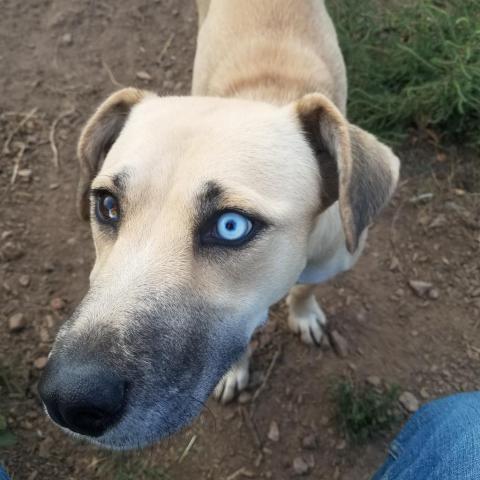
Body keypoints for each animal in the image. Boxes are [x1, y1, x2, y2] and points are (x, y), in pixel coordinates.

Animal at [39, 0, 402, 450]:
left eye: (231, 226)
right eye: (107, 205)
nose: (68, 399)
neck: (260, 94)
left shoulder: (333, 259)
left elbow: (305, 288)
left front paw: (303, 314)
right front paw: (235, 371)